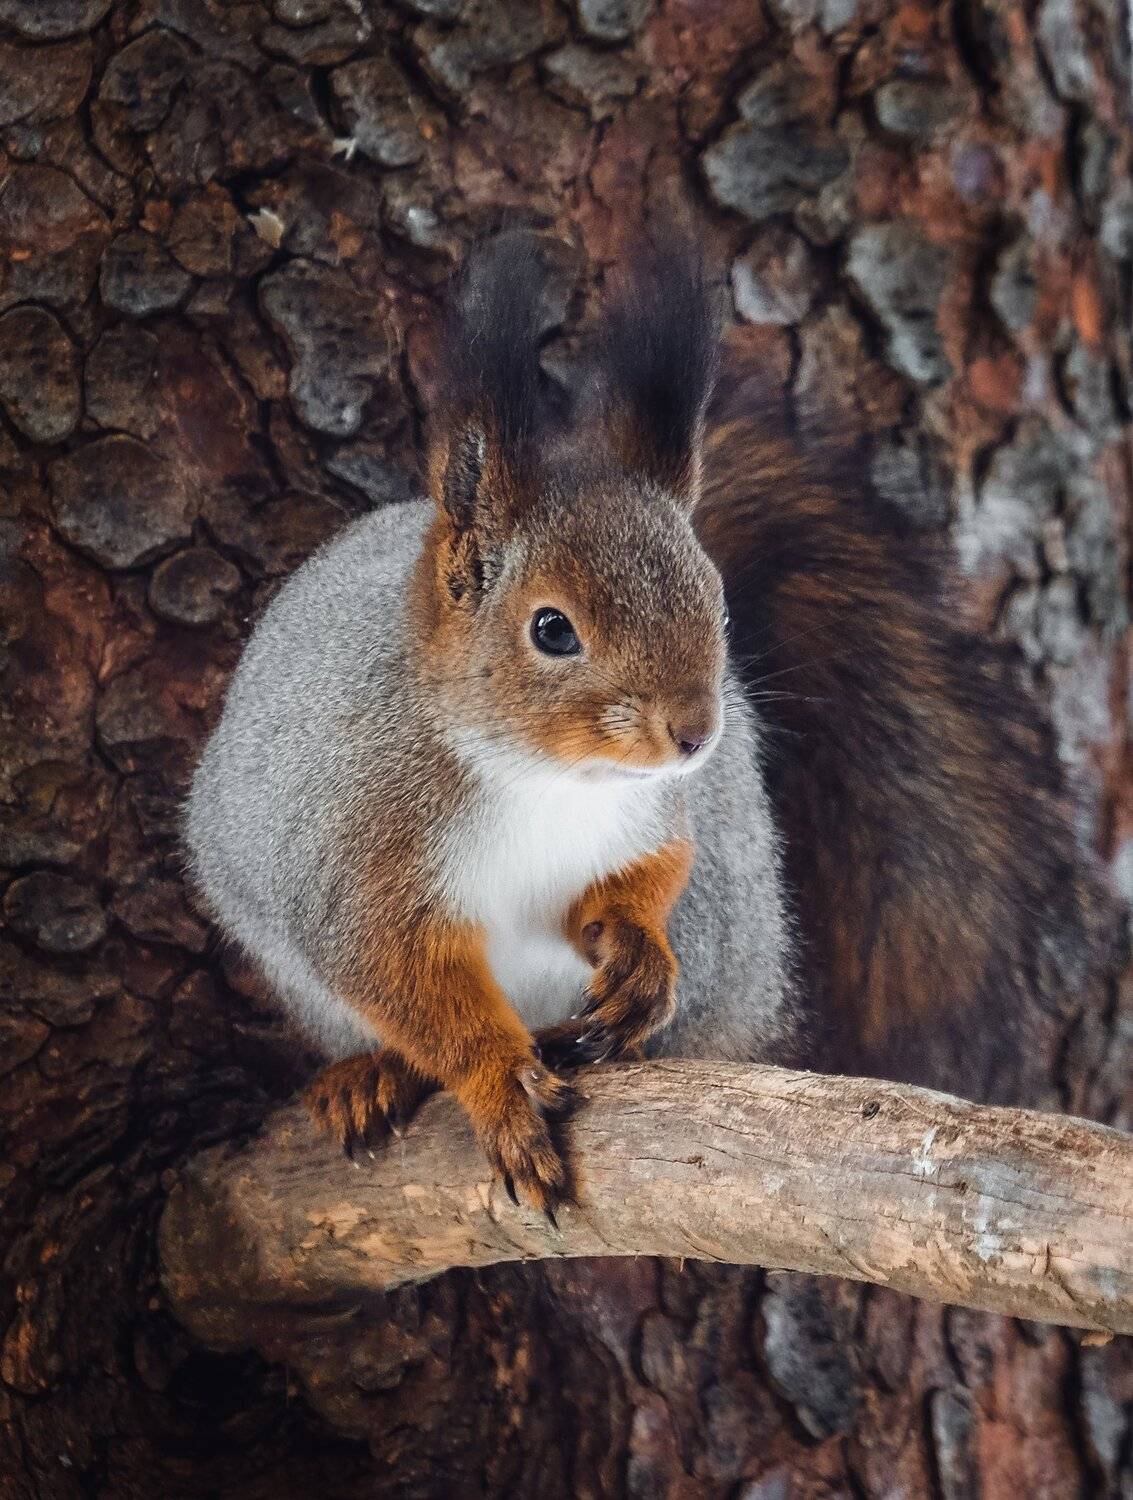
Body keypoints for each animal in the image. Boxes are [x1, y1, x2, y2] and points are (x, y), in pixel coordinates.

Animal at [185, 232, 1096, 1214]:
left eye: (717, 604)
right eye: (551, 629)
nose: (695, 736)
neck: (542, 776)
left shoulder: (655, 810)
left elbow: (652, 871)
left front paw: (634, 954)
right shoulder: (361, 850)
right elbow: (407, 978)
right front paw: (500, 1085)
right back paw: (375, 1073)